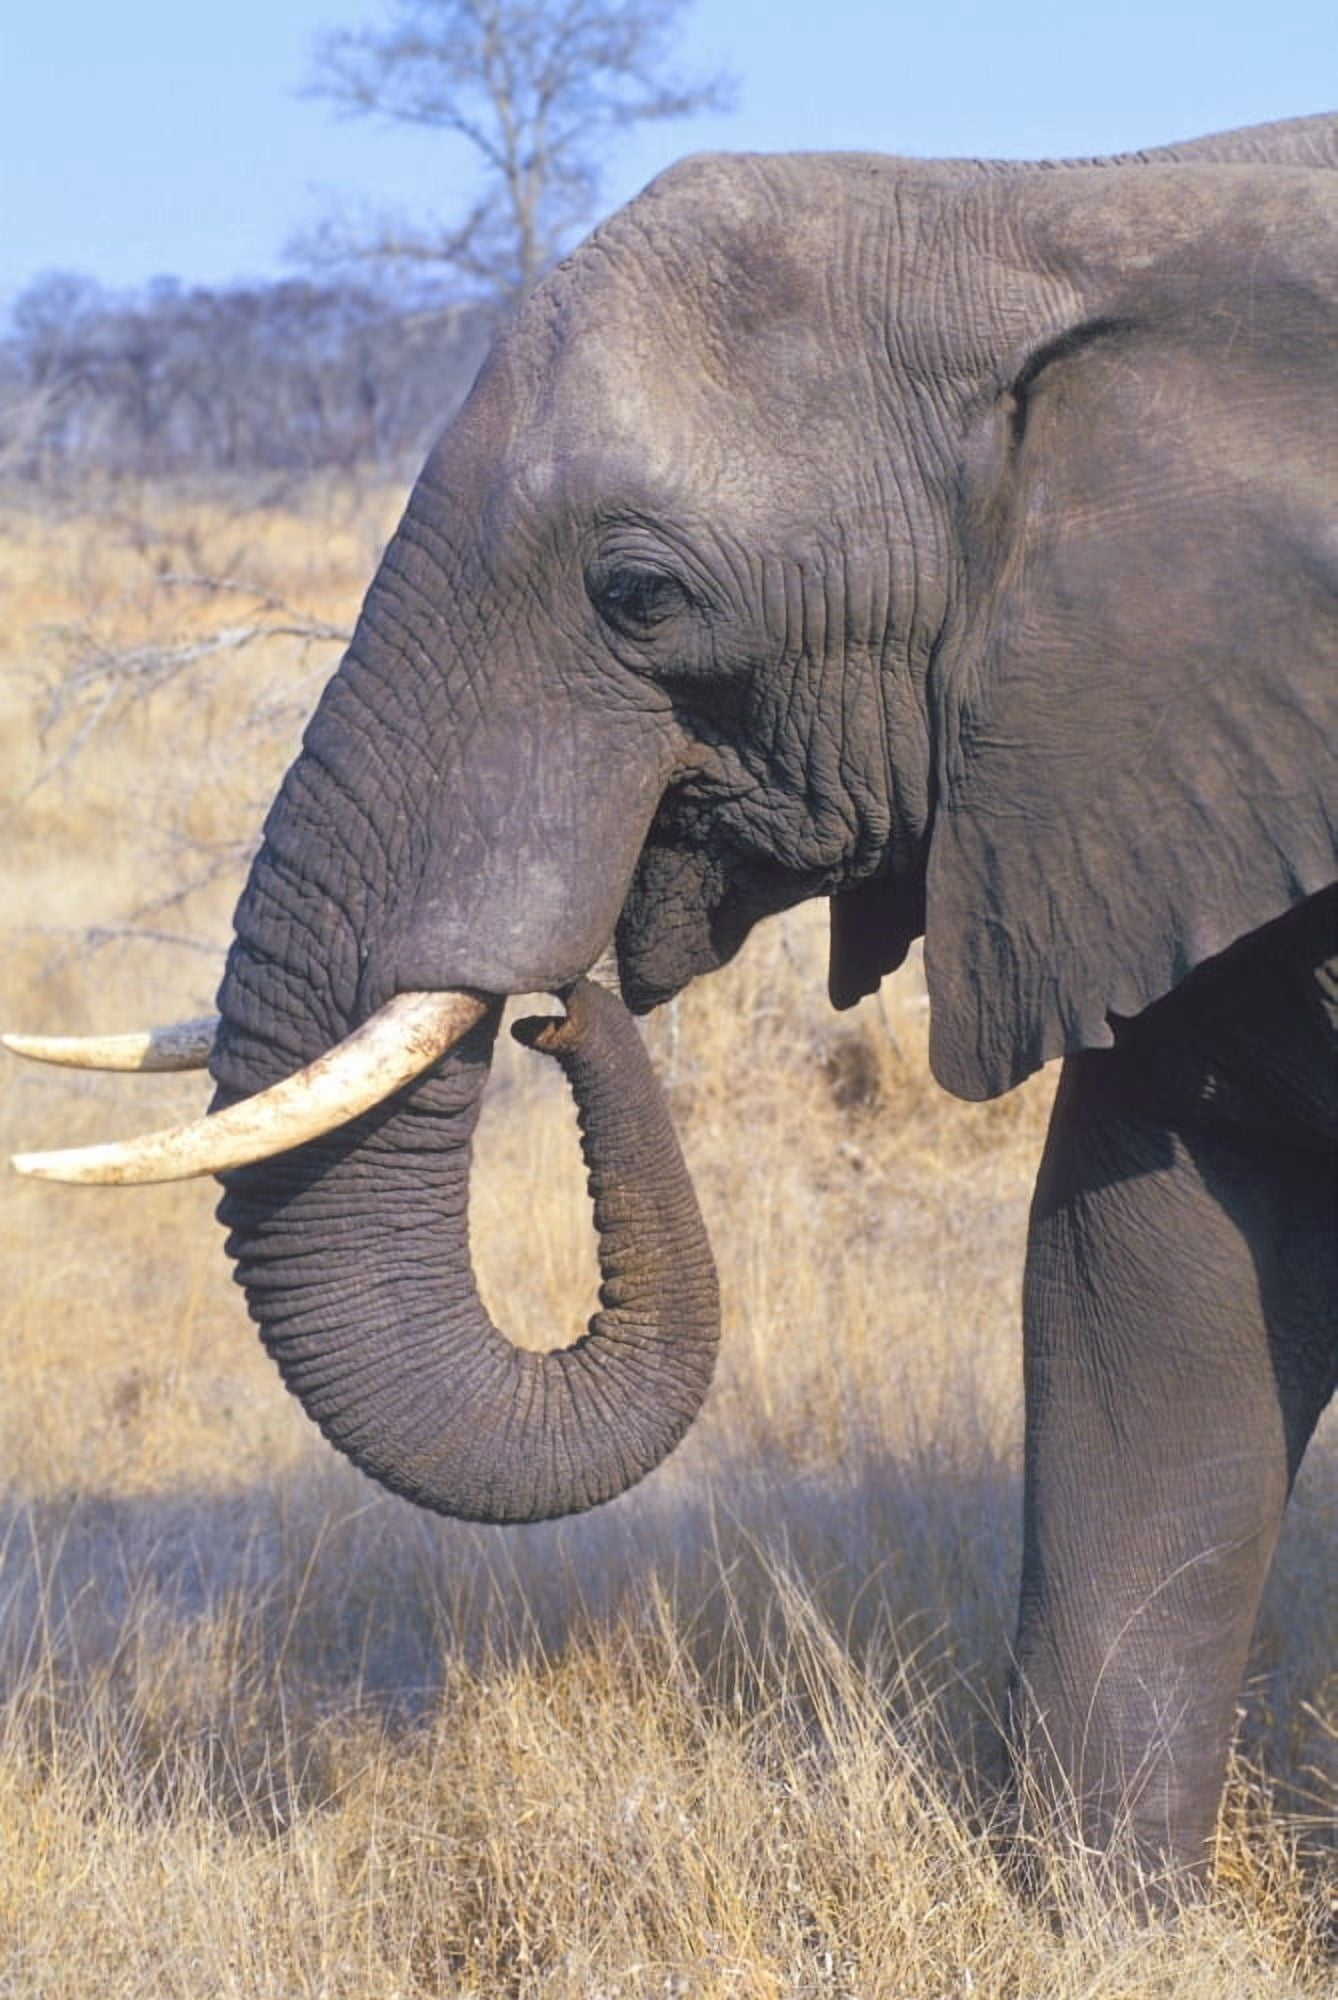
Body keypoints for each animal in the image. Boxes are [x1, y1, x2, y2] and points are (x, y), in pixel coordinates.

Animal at [9, 111, 1336, 1894]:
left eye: (637, 593)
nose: (562, 1005)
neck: (1034, 212)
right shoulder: (1139, 748)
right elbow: (1142, 1283)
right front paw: (1102, 1919)